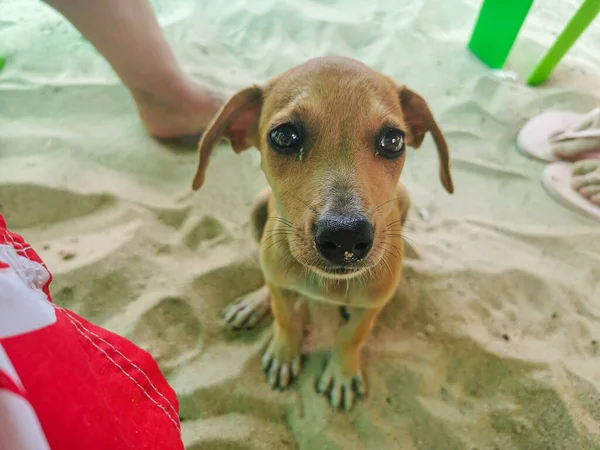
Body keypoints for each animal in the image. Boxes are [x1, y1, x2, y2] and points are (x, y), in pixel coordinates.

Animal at [191, 54, 450, 410]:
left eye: (393, 140)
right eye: (284, 137)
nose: (345, 237)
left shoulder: (373, 304)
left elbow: (352, 337)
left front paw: (342, 372)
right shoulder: (280, 283)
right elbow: (285, 317)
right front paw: (284, 353)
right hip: (258, 208)